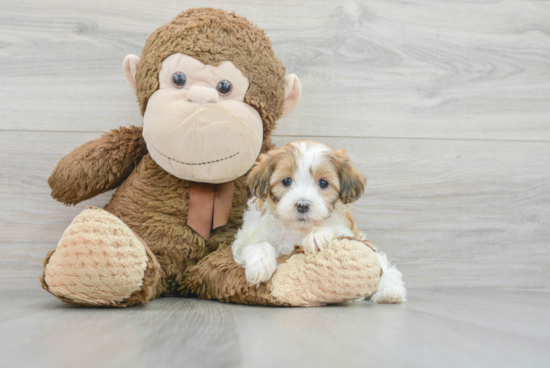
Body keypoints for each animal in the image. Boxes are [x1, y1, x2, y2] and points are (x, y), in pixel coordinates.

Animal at [233, 139, 410, 304]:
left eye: (323, 183)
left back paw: (390, 293)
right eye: (286, 181)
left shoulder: (349, 232)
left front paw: (317, 236)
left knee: (388, 273)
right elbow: (257, 243)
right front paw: (260, 264)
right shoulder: (245, 238)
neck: (296, 228)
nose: (302, 205)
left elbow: (334, 229)